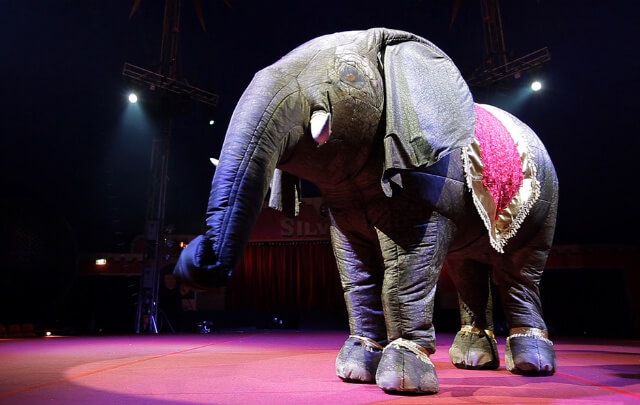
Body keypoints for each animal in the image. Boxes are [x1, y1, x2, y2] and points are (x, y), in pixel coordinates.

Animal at [173, 28, 558, 395]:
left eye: (349, 75)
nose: (192, 252)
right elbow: (354, 268)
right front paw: (354, 370)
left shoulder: (427, 178)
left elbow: (406, 265)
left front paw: (404, 378)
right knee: (467, 270)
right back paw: (473, 358)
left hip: (544, 204)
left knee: (518, 273)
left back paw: (531, 364)